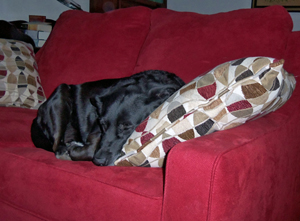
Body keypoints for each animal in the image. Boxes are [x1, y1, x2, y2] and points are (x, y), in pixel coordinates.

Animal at [31, 71, 185, 166]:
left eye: (126, 126)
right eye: (102, 124)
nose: (98, 161)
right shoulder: (95, 131)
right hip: (61, 92)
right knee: (56, 146)